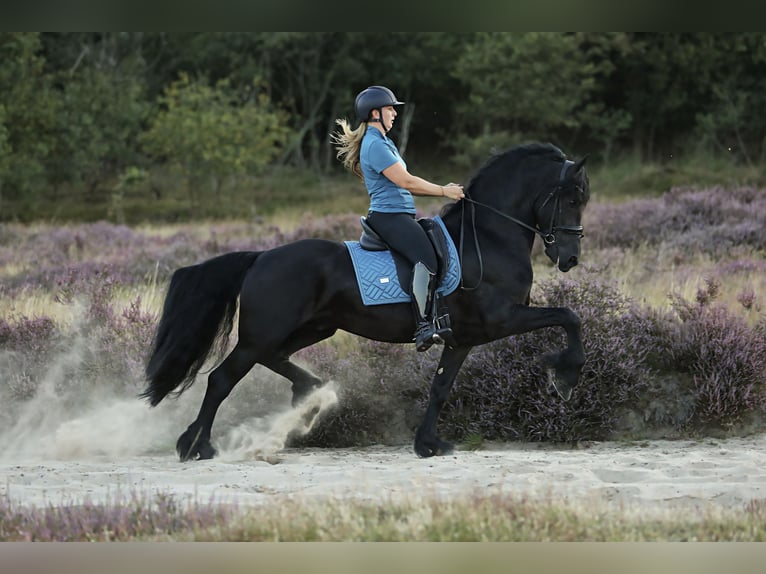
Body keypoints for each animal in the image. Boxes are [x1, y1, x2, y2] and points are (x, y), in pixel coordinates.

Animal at [142, 143, 588, 464]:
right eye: (571, 200)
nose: (570, 259)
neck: (490, 238)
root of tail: (260, 257)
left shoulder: (463, 339)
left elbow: (441, 387)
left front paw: (428, 444)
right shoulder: (501, 319)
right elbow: (569, 316)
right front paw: (565, 377)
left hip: (312, 328)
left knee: (274, 358)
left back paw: (310, 392)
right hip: (263, 333)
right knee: (221, 380)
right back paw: (197, 446)